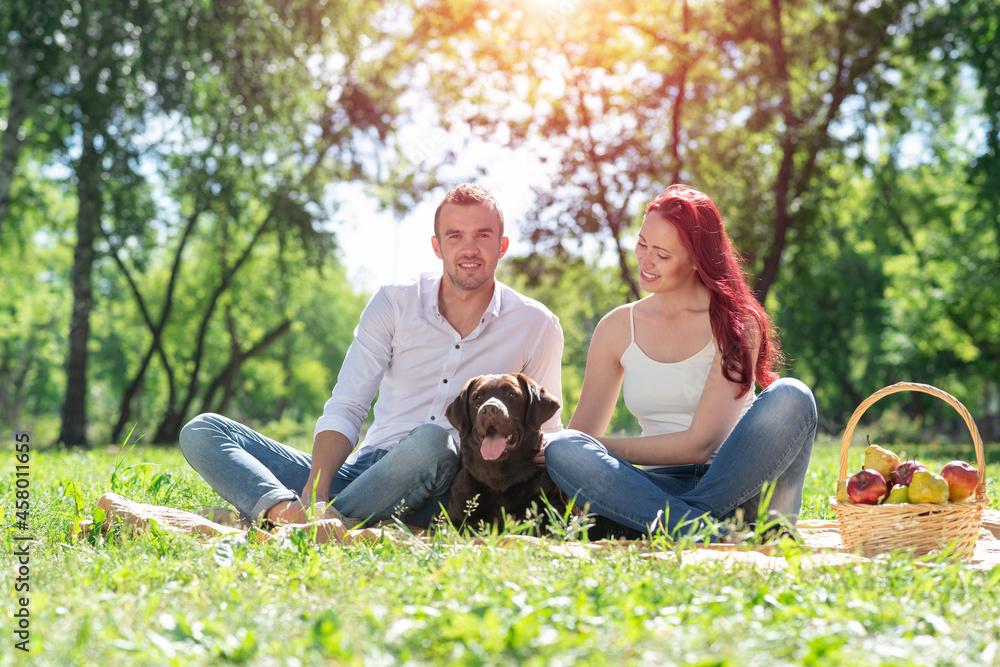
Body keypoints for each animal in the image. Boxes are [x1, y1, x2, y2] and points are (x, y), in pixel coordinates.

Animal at [444, 374, 564, 528]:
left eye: (512, 395)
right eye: (477, 397)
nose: (489, 409)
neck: (500, 475)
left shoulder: (551, 505)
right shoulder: (456, 517)